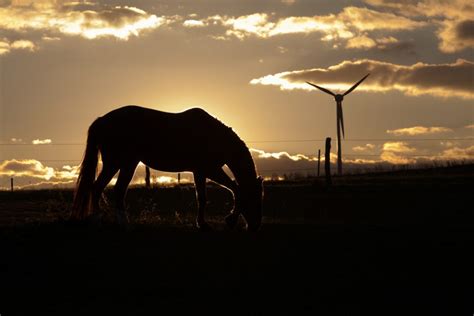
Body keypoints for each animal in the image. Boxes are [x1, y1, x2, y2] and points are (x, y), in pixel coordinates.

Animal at [71, 105, 262, 231]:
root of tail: (101, 121)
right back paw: (108, 222)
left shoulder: (200, 171)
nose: (255, 226)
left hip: (125, 163)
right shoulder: (210, 169)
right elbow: (236, 190)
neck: (214, 136)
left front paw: (202, 224)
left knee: (111, 190)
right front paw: (230, 220)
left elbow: (202, 197)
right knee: (102, 188)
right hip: (117, 162)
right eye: (255, 198)